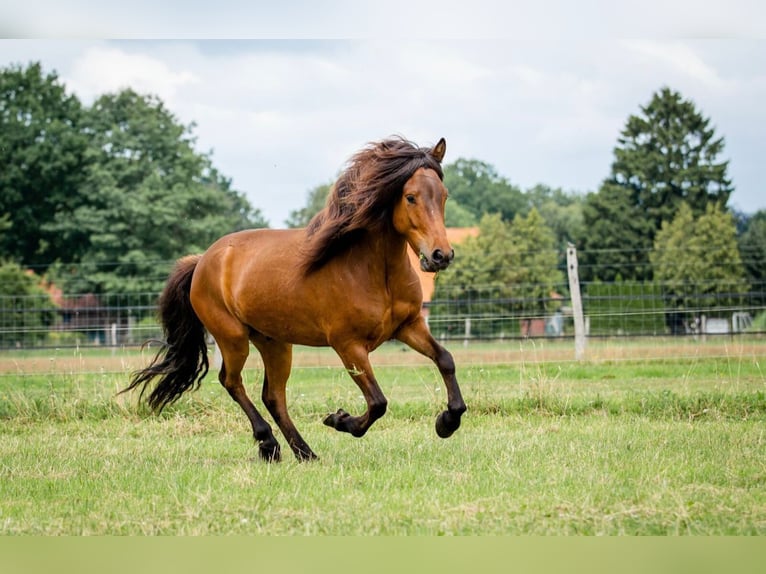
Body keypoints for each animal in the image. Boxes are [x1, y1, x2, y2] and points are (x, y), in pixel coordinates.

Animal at [122, 136, 466, 462]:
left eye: (444, 195)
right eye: (410, 197)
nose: (441, 256)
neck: (375, 273)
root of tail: (203, 261)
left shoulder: (409, 326)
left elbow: (445, 359)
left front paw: (447, 422)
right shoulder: (348, 345)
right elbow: (378, 402)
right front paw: (339, 420)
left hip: (274, 342)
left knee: (273, 396)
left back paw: (304, 452)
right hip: (233, 338)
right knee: (231, 381)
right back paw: (269, 444)